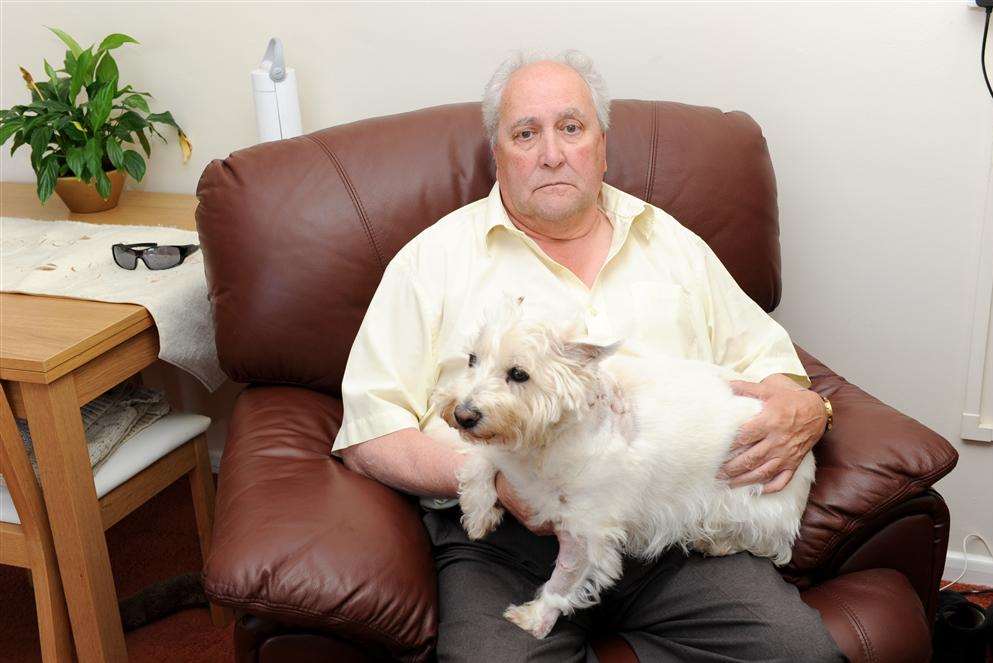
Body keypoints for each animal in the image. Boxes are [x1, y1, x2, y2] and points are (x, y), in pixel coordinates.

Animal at [430, 298, 816, 640]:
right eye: (472, 359)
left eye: (519, 374)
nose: (462, 414)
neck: (550, 441)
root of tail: (808, 460)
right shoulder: (511, 460)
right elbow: (480, 461)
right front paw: (479, 513)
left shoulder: (588, 530)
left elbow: (565, 578)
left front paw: (535, 619)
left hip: (751, 506)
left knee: (763, 541)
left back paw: (714, 542)